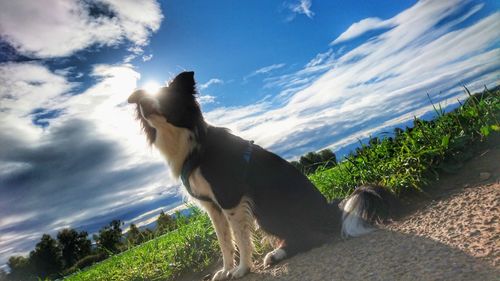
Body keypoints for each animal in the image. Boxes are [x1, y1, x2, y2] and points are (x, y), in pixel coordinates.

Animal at [129, 71, 398, 278]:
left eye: (165, 97)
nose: (142, 103)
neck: (193, 145)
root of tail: (329, 209)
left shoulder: (230, 199)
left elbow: (240, 238)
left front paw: (242, 270)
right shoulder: (213, 207)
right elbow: (224, 242)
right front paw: (225, 270)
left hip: (267, 210)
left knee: (312, 237)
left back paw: (278, 253)